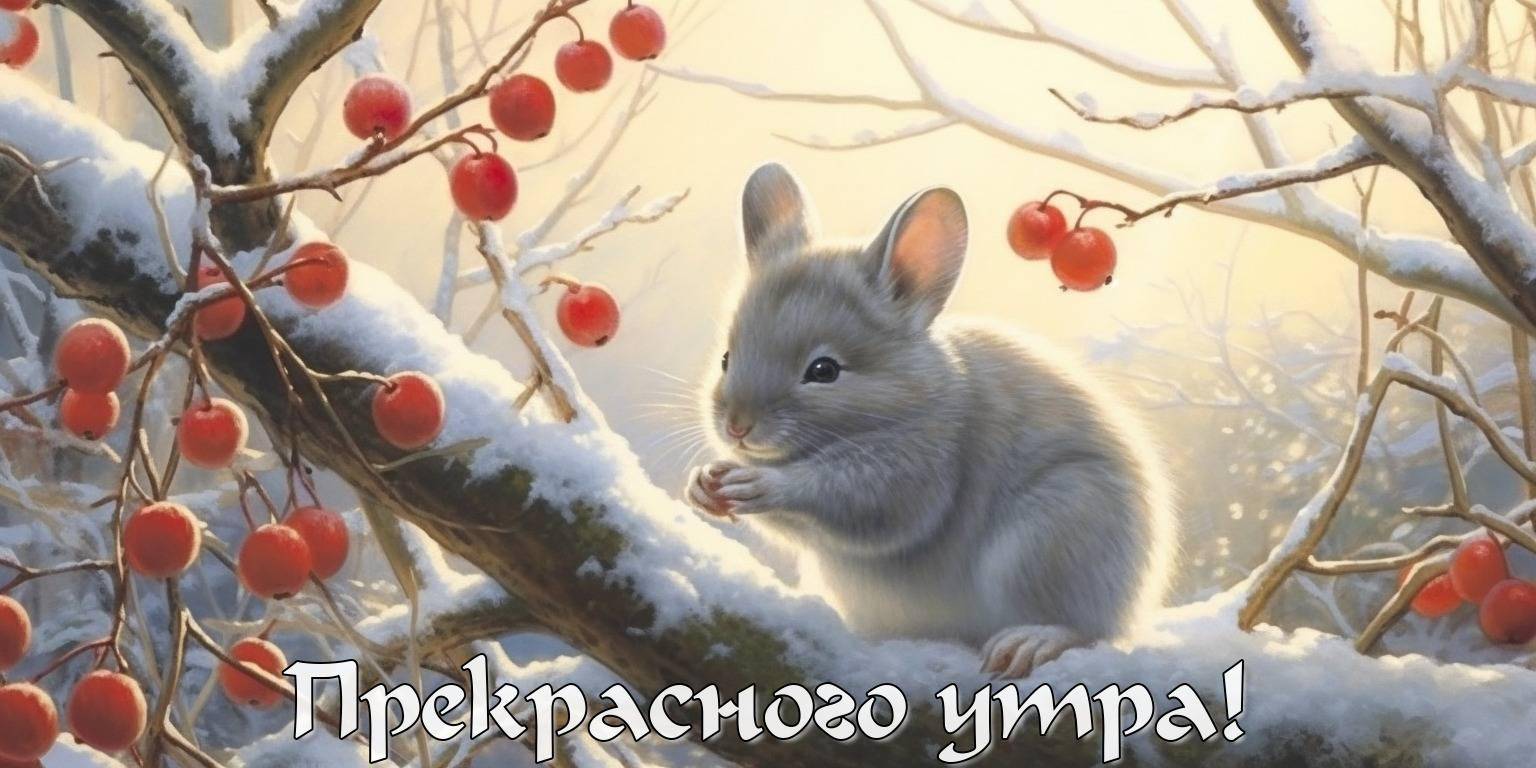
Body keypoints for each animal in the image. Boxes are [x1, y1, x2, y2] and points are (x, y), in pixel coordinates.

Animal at [683, 163, 1176, 678]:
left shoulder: (919, 468)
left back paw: (1031, 642)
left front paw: (756, 484)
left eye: (824, 370)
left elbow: (850, 499)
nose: (737, 426)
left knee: (1088, 632)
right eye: (725, 358)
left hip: (1057, 532)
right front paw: (703, 484)